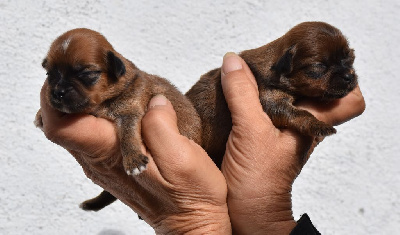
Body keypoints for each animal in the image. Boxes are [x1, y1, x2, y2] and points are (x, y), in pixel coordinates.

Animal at [35, 28, 202, 212]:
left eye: (86, 74)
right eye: (49, 74)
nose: (58, 92)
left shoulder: (131, 112)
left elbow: (128, 135)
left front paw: (133, 160)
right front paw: (40, 114)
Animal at [186, 21, 358, 166]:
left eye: (349, 58)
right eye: (319, 66)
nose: (349, 76)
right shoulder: (270, 100)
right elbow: (299, 113)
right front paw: (318, 125)